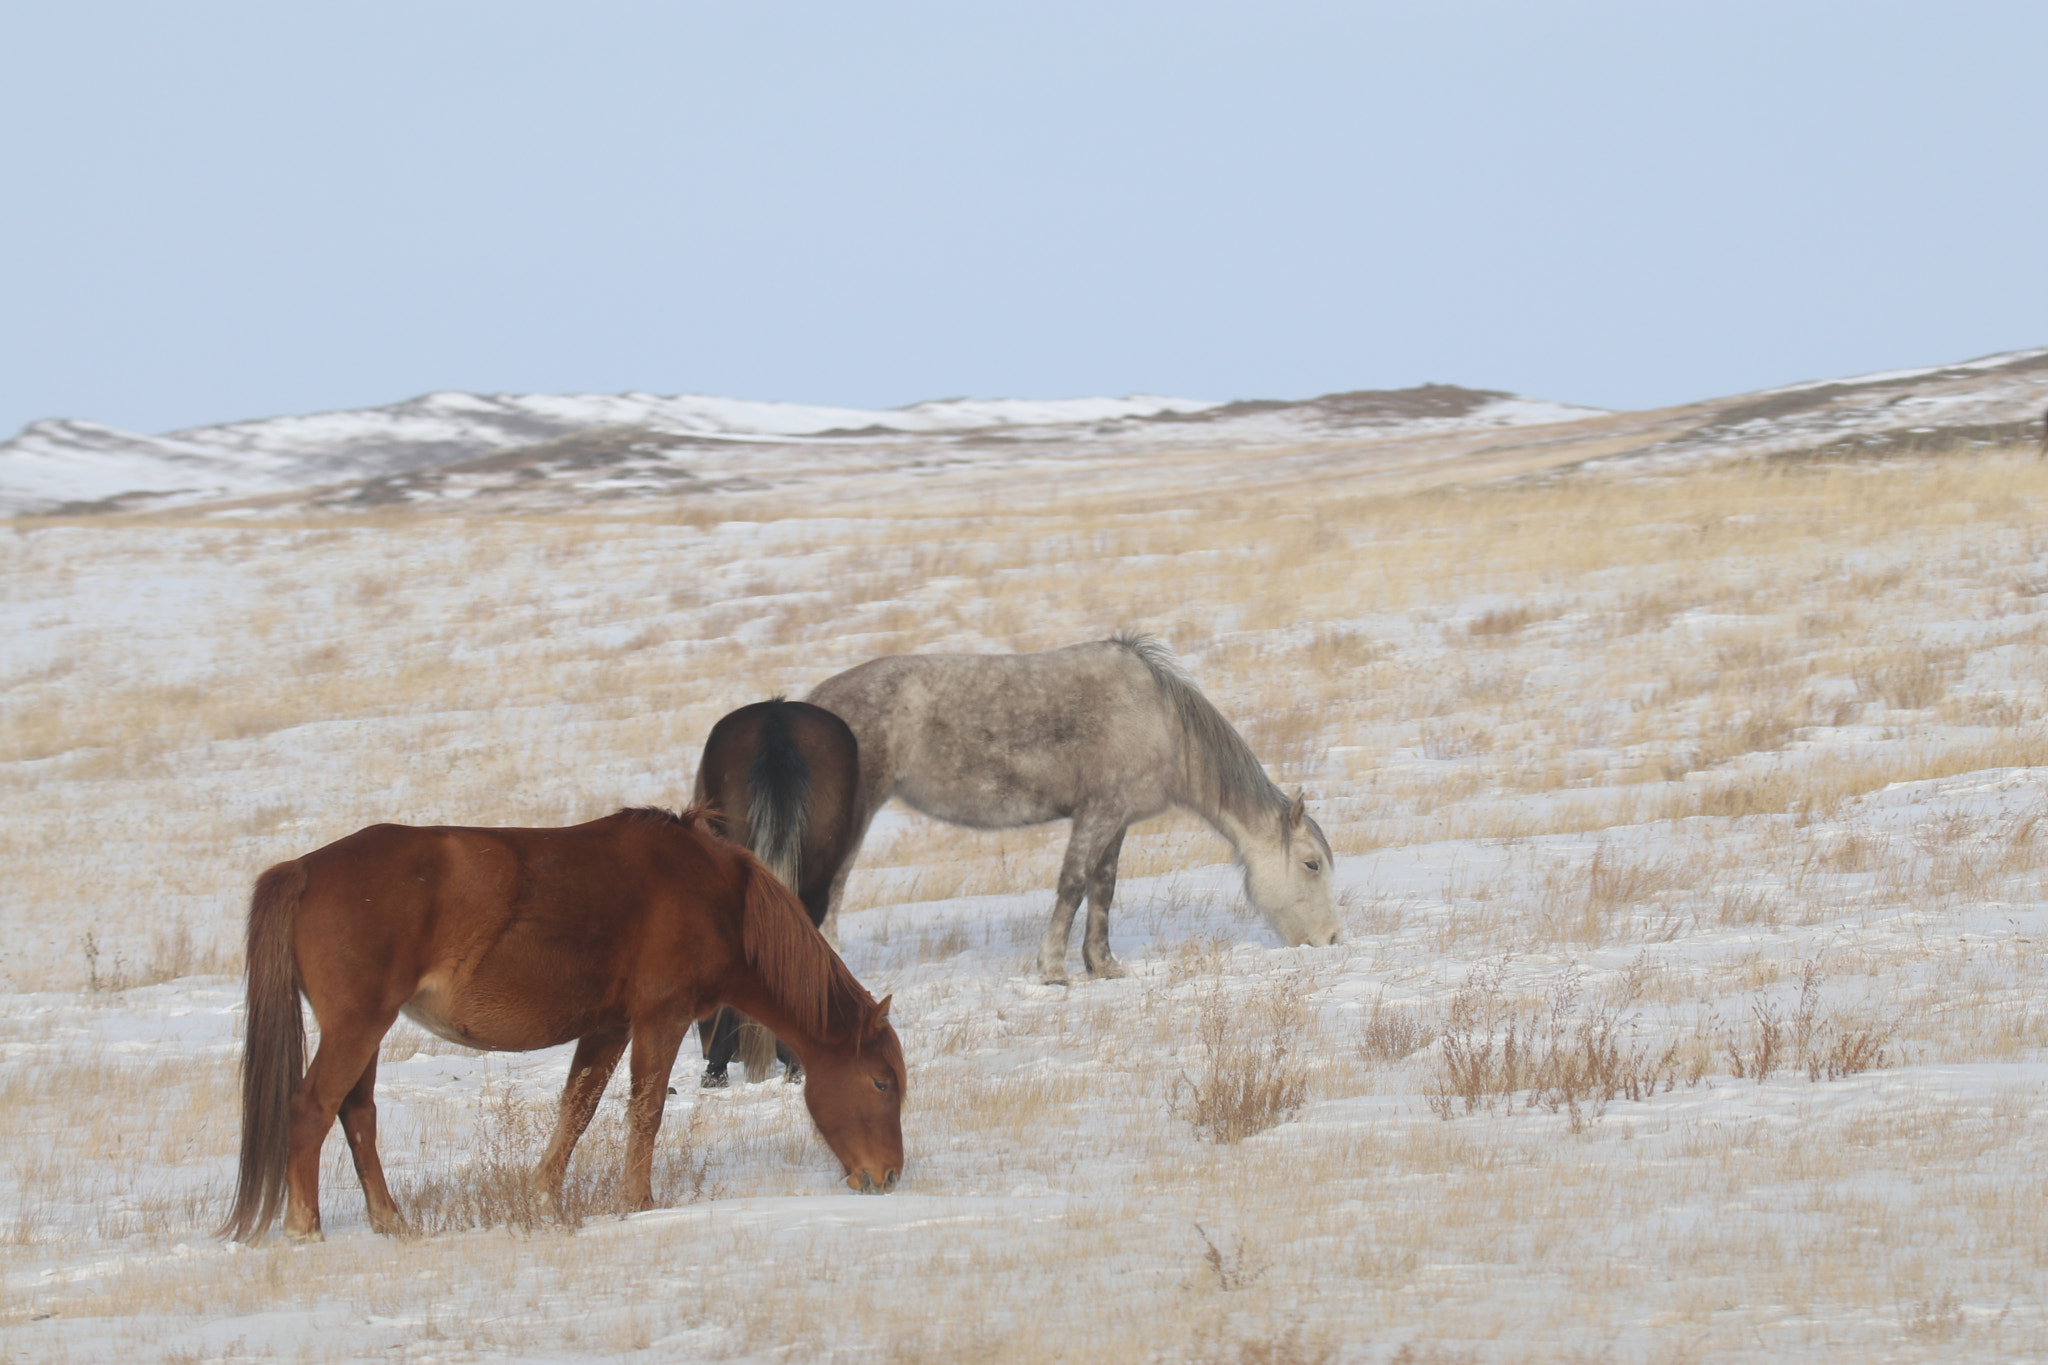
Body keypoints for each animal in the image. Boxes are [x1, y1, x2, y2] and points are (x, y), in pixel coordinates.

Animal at [214, 806, 905, 1244]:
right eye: (881, 1083)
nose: (890, 1176)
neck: (715, 894)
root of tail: (304, 868)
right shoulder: (661, 1016)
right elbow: (645, 1109)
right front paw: (638, 1203)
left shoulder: (608, 1028)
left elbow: (578, 1108)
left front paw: (545, 1198)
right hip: (357, 1026)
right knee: (311, 1108)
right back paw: (305, 1228)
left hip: (367, 1031)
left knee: (356, 1114)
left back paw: (391, 1222)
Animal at [798, 634, 1343, 982]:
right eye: (1311, 864)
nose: (1334, 940)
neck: (1158, 719)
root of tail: (814, 701)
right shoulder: (1097, 813)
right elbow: (1073, 885)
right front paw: (1054, 970)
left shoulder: (1117, 821)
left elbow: (1103, 890)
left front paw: (1103, 966)